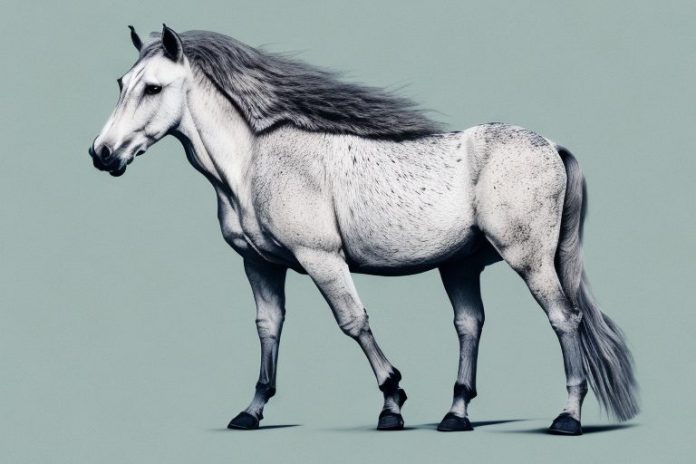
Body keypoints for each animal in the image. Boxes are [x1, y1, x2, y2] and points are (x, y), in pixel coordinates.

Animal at [88, 25, 638, 434]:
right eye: (121, 83)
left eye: (153, 87)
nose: (102, 154)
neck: (253, 163)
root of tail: (552, 146)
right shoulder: (259, 265)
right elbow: (269, 327)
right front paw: (251, 411)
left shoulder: (321, 259)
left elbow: (353, 322)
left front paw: (392, 402)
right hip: (460, 266)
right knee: (470, 325)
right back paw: (455, 415)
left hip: (530, 260)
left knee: (565, 319)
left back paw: (567, 418)